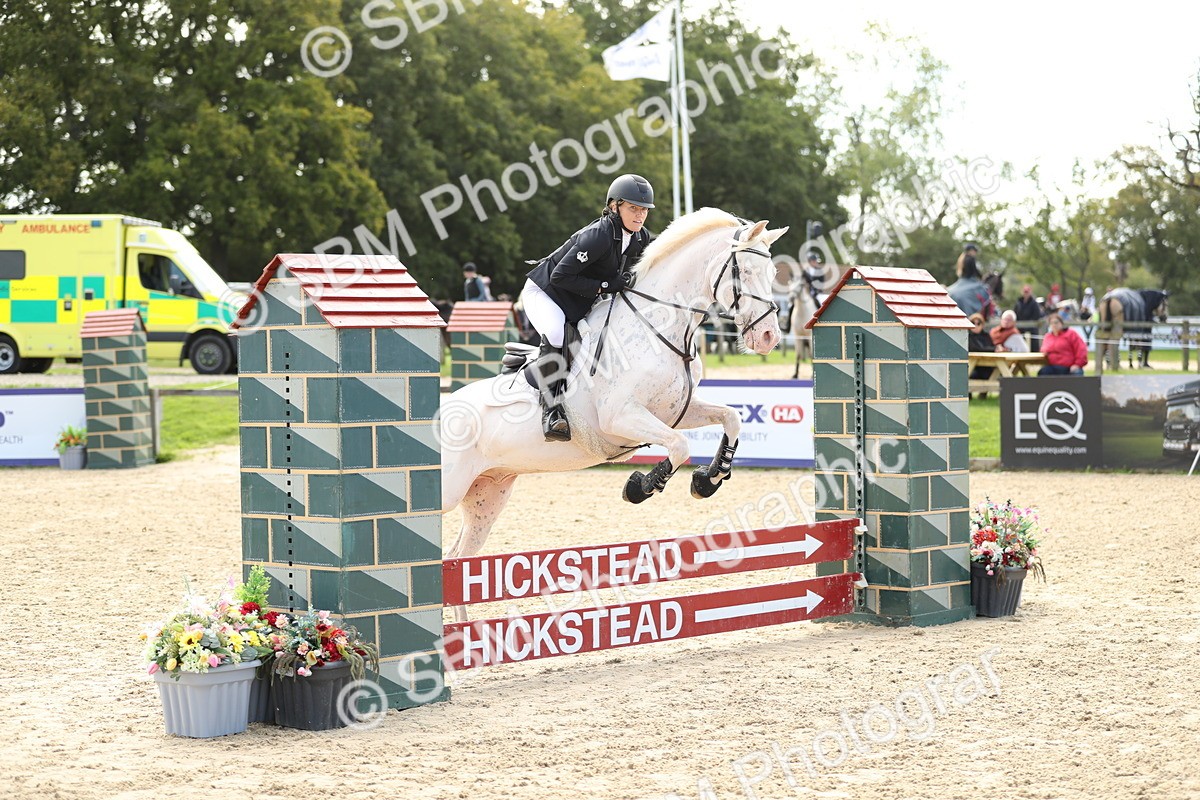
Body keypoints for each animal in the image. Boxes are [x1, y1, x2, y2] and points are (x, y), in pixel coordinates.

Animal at [441, 209, 786, 611]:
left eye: (773, 273)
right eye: (743, 271)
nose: (769, 338)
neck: (659, 325)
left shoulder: (675, 411)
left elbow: (732, 418)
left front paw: (708, 479)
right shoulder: (621, 417)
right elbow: (679, 446)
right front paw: (641, 487)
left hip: (487, 496)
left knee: (458, 560)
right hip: (450, 490)